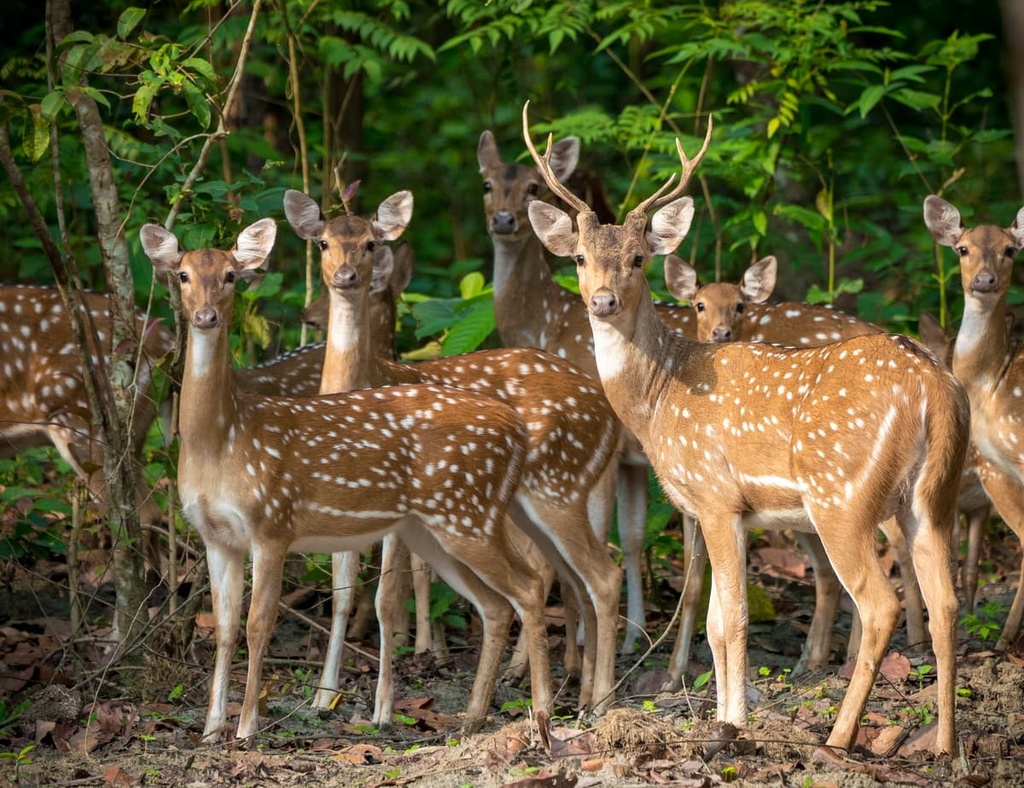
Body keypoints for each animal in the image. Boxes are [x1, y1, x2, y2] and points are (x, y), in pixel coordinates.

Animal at [139, 218, 554, 744]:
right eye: (183, 275)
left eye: (232, 275)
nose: (207, 316)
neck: (222, 440)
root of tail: (517, 430)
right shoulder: (216, 535)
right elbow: (223, 628)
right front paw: (212, 731)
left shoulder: (272, 523)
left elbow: (258, 624)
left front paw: (247, 728)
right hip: (434, 528)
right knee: (496, 604)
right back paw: (473, 717)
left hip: (467, 514)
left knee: (528, 586)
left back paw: (542, 713)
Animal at [282, 187, 624, 718]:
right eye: (322, 243)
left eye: (370, 243)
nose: (346, 277)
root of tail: (608, 412)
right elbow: (342, 593)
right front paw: (323, 696)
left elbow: (386, 595)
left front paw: (384, 706)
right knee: (573, 574)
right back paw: (575, 688)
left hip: (552, 491)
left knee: (590, 574)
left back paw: (586, 698)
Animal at [523, 103, 968, 756]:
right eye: (579, 257)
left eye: (638, 259)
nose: (603, 301)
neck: (659, 396)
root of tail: (935, 389)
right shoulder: (726, 510)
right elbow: (712, 621)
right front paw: (724, 715)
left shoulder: (714, 496)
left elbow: (731, 618)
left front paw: (731, 724)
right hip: (931, 496)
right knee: (947, 602)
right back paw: (944, 745)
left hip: (843, 495)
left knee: (879, 603)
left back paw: (839, 737)